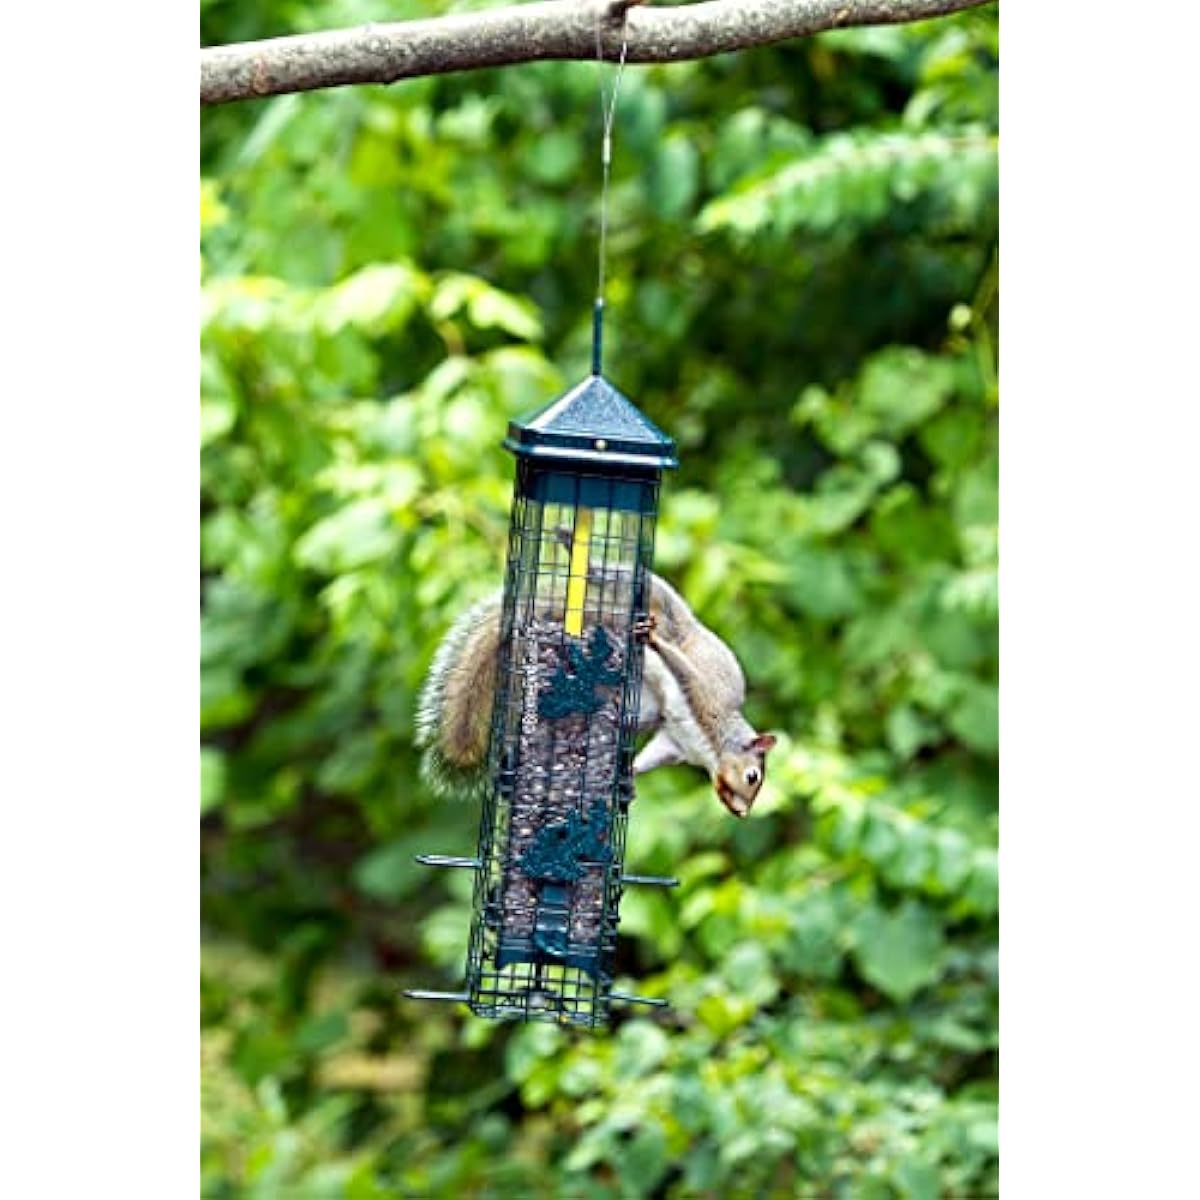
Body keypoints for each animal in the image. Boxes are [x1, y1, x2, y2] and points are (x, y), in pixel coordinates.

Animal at [416, 569, 777, 818]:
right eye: (752, 777)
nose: (742, 813)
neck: (711, 747)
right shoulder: (704, 699)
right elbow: (683, 671)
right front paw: (654, 641)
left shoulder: (674, 743)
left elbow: (653, 755)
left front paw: (628, 777)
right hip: (666, 616)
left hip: (646, 708)